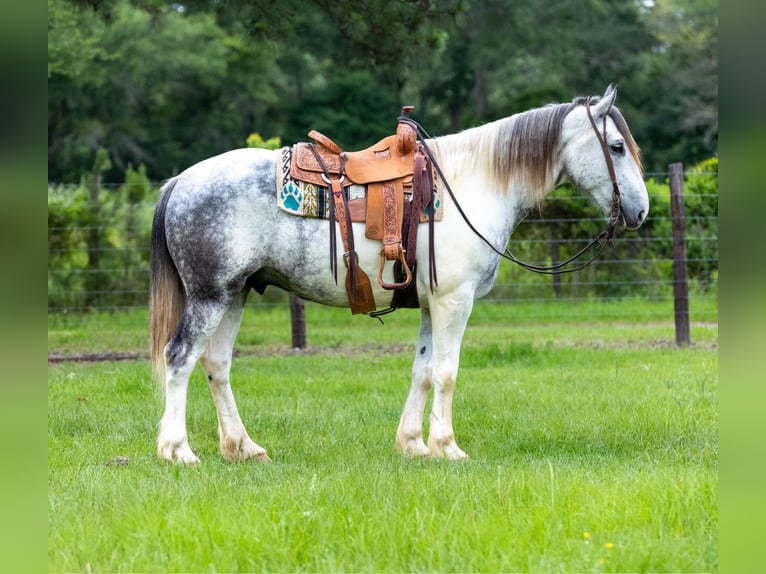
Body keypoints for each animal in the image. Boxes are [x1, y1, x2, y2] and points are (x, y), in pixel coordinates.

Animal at [150, 85, 648, 464]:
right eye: (617, 147)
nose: (641, 211)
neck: (473, 184)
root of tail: (179, 183)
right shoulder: (454, 301)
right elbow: (446, 371)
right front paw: (447, 447)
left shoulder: (431, 304)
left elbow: (423, 370)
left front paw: (413, 444)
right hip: (209, 297)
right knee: (179, 358)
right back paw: (178, 451)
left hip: (234, 295)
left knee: (217, 365)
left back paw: (243, 447)